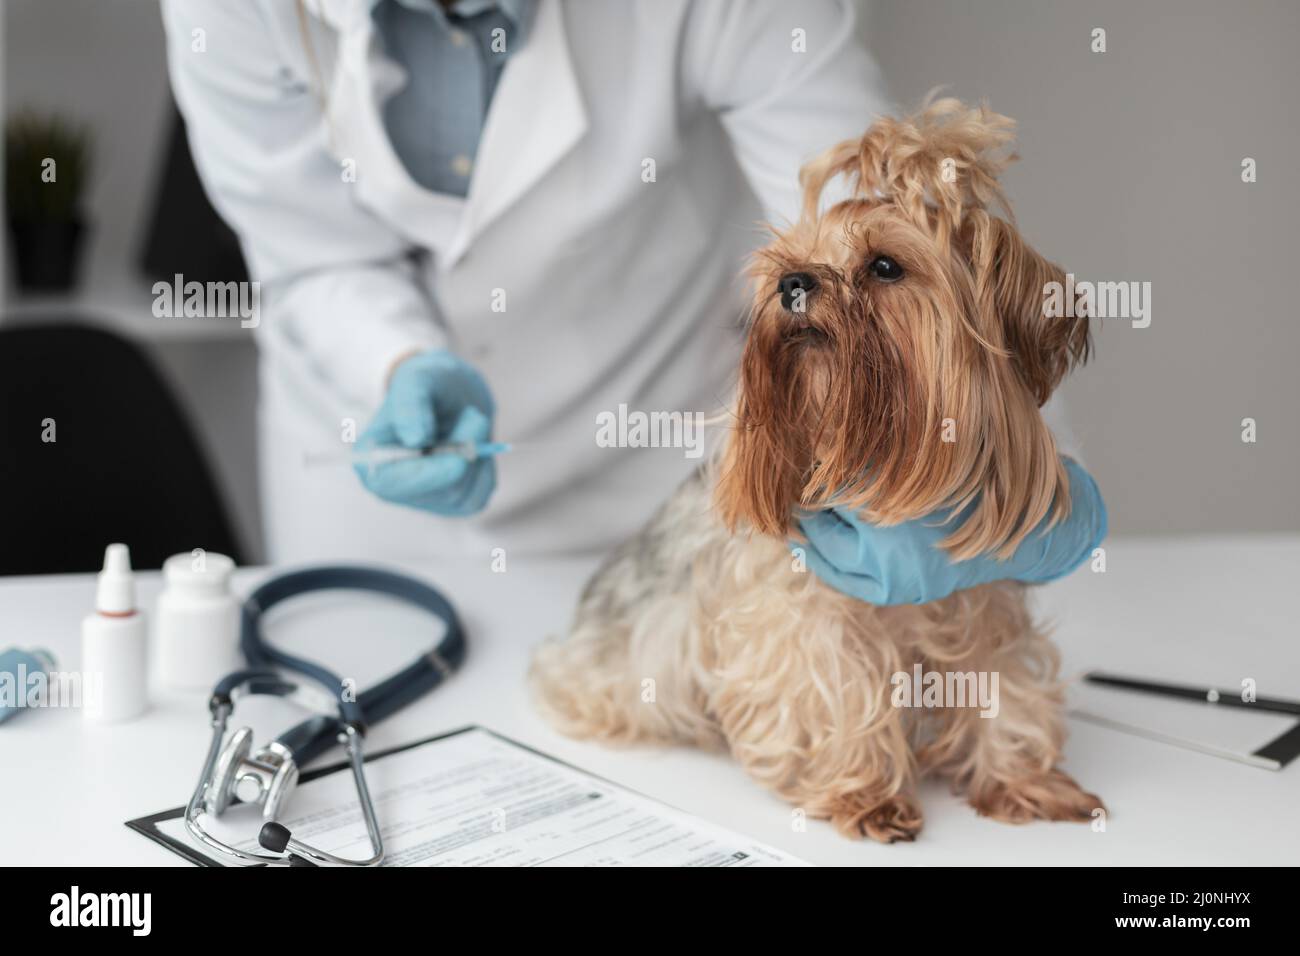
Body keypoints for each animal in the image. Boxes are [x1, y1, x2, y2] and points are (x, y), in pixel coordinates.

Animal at [533, 100, 1102, 842]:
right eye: (792, 258)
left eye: (885, 265)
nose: (791, 283)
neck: (881, 468)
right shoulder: (801, 612)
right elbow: (835, 689)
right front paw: (865, 793)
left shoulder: (982, 597)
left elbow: (1003, 681)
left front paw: (1020, 779)